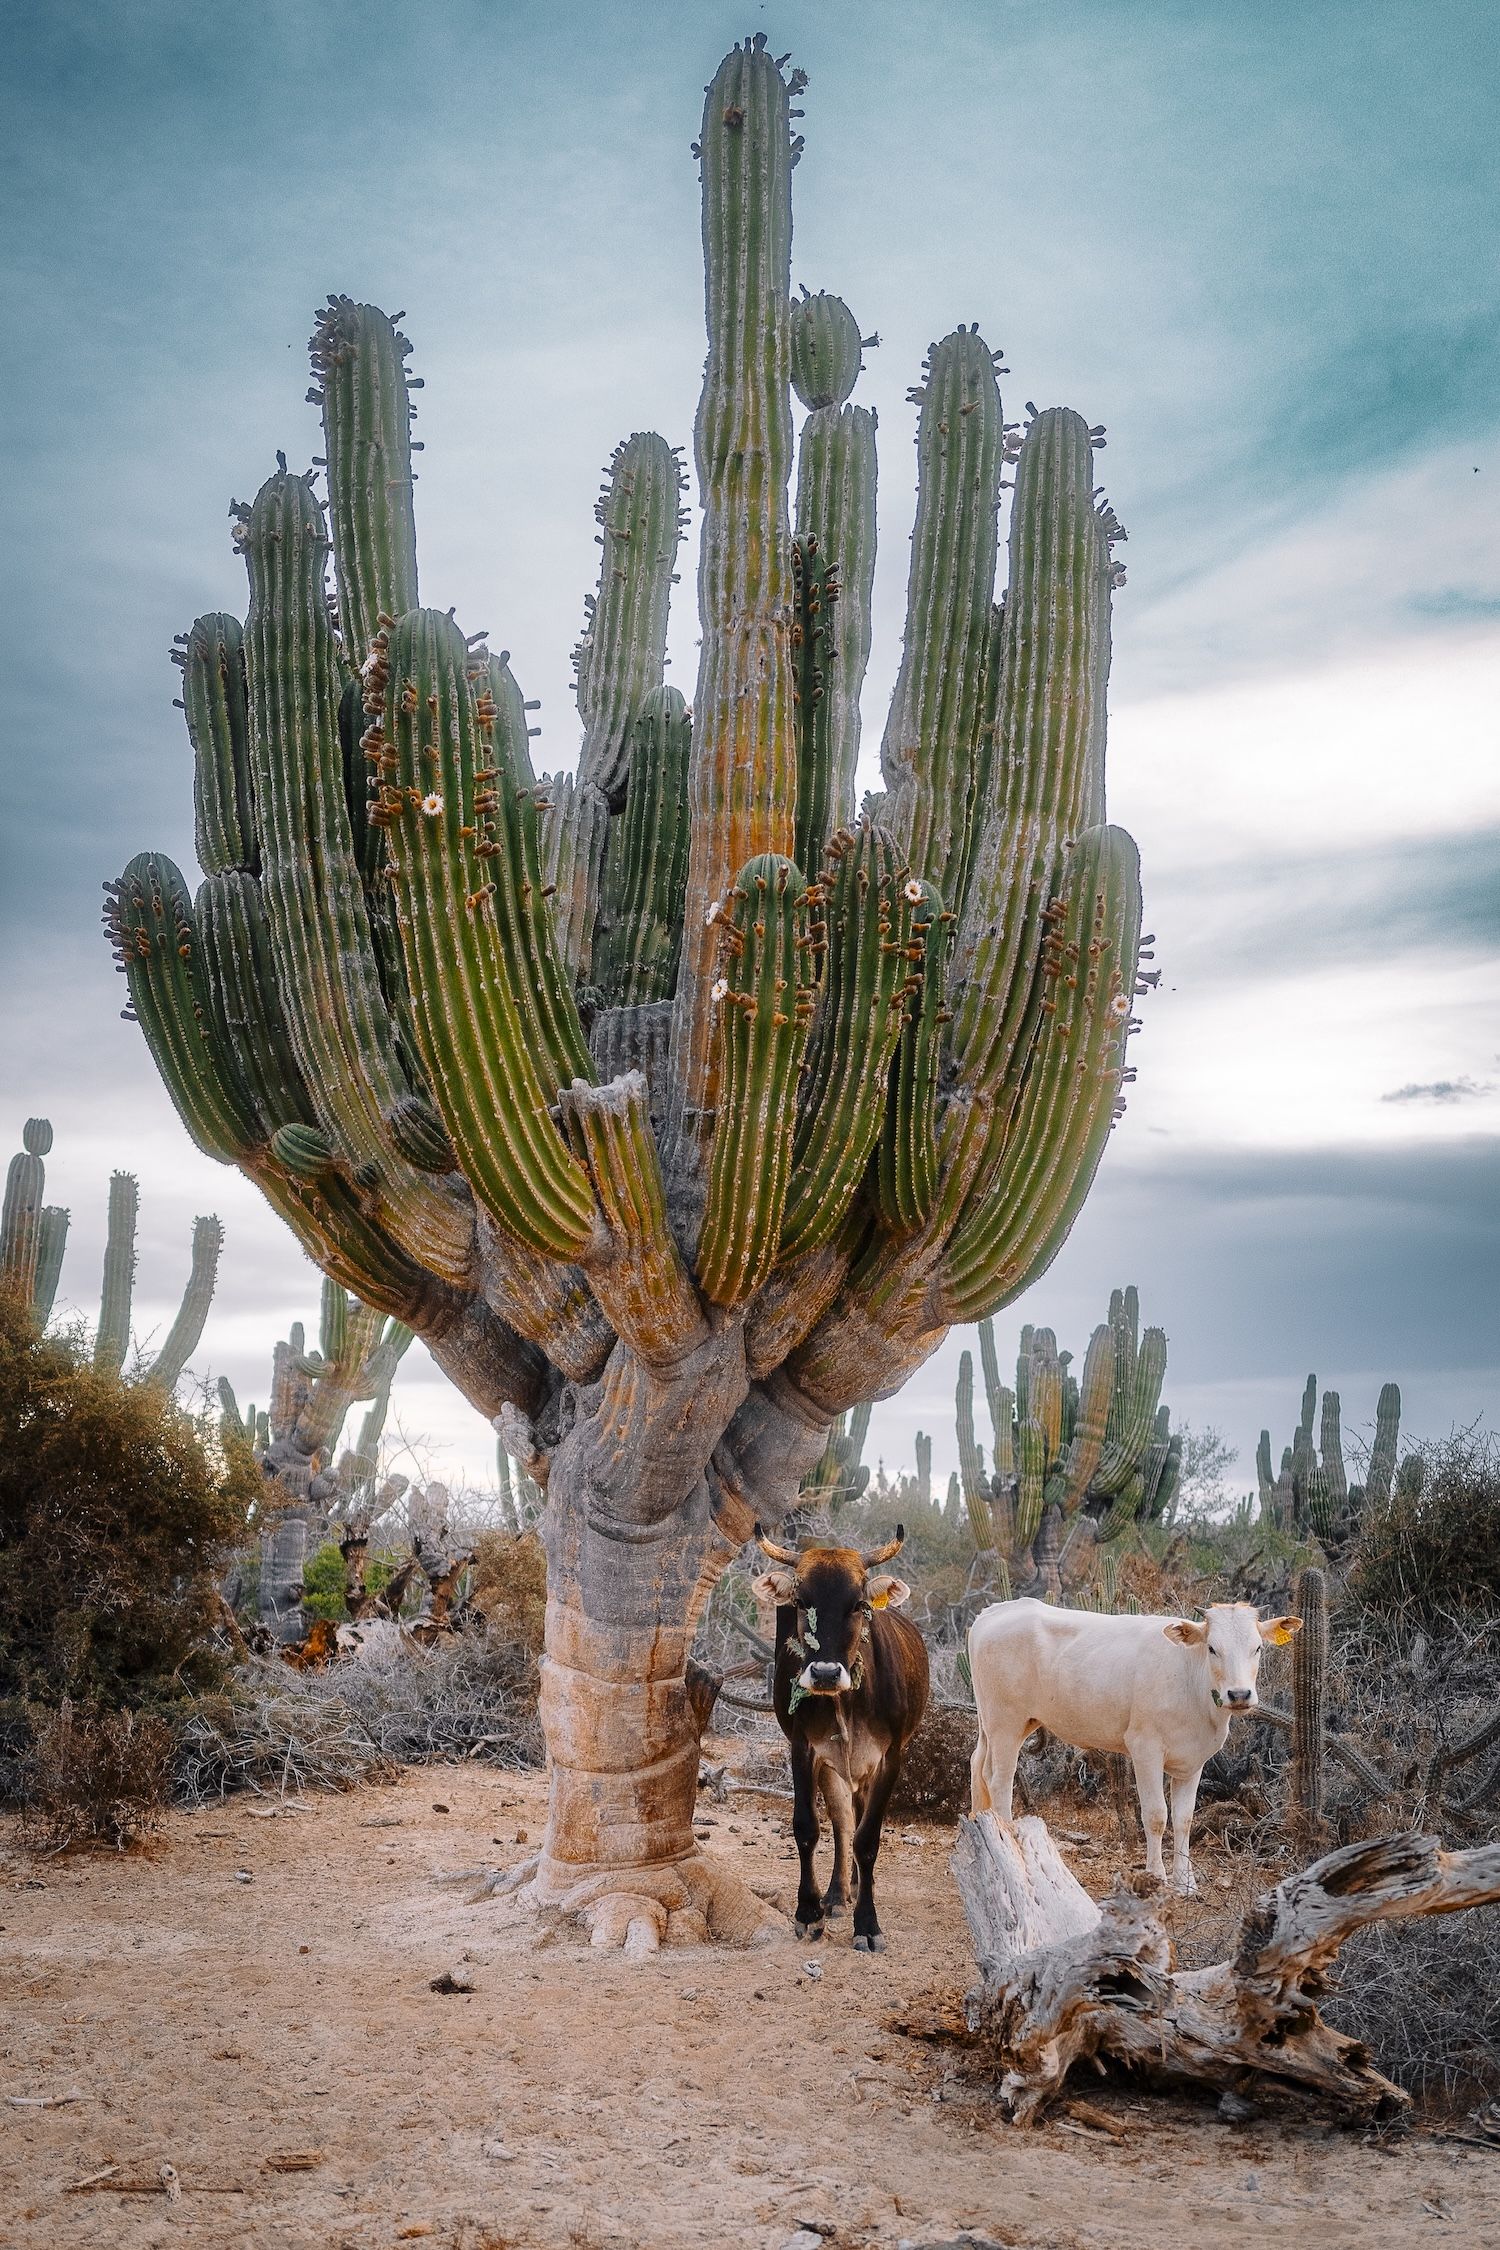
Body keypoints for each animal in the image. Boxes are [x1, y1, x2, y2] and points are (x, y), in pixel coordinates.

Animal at [753, 1523, 930, 1950]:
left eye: (858, 1604)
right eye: (801, 1601)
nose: (825, 1673)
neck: (845, 1702)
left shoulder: (890, 1758)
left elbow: (868, 1840)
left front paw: (867, 1923)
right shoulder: (803, 1749)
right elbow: (807, 1828)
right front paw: (808, 1912)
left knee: (858, 1820)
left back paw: (854, 1885)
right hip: (835, 1767)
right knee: (842, 1821)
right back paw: (836, 1892)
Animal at [967, 1597, 1301, 1894]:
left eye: (1257, 1647)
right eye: (1212, 1648)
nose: (1239, 1694)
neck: (1191, 1682)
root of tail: (995, 1611)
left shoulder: (1194, 1761)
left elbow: (1184, 1818)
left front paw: (1186, 1882)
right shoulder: (1146, 1750)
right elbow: (1156, 1816)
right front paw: (1157, 1876)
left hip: (1008, 1724)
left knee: (978, 1766)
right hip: (1005, 1723)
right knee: (999, 1781)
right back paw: (1009, 1845)